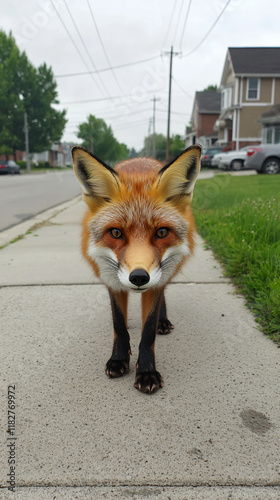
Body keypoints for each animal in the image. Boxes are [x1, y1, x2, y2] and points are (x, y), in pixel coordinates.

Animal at [71, 145, 200, 394]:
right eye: (116, 233)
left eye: (161, 232)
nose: (139, 277)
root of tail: (141, 159)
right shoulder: (112, 282)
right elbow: (119, 325)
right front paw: (119, 359)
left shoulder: (156, 283)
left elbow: (147, 332)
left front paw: (147, 372)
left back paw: (163, 321)